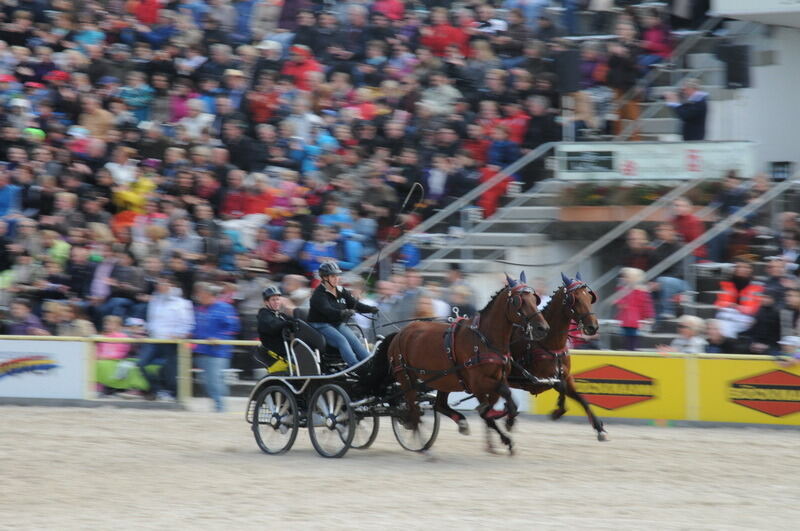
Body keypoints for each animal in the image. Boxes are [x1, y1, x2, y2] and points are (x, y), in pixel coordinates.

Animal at [376, 274, 552, 454]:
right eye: (518, 301)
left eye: (535, 299)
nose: (543, 328)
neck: (485, 340)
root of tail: (400, 333)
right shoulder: (478, 383)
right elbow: (501, 396)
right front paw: (506, 422)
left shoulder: (497, 379)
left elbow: (500, 401)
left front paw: (505, 429)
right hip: (406, 378)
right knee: (413, 411)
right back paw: (422, 443)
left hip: (444, 379)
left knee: (439, 405)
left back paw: (461, 422)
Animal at [510, 272, 608, 442]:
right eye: (575, 299)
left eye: (590, 297)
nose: (593, 327)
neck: (550, 344)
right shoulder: (537, 380)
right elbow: (561, 386)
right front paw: (557, 411)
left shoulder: (567, 377)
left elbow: (581, 398)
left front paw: (599, 427)